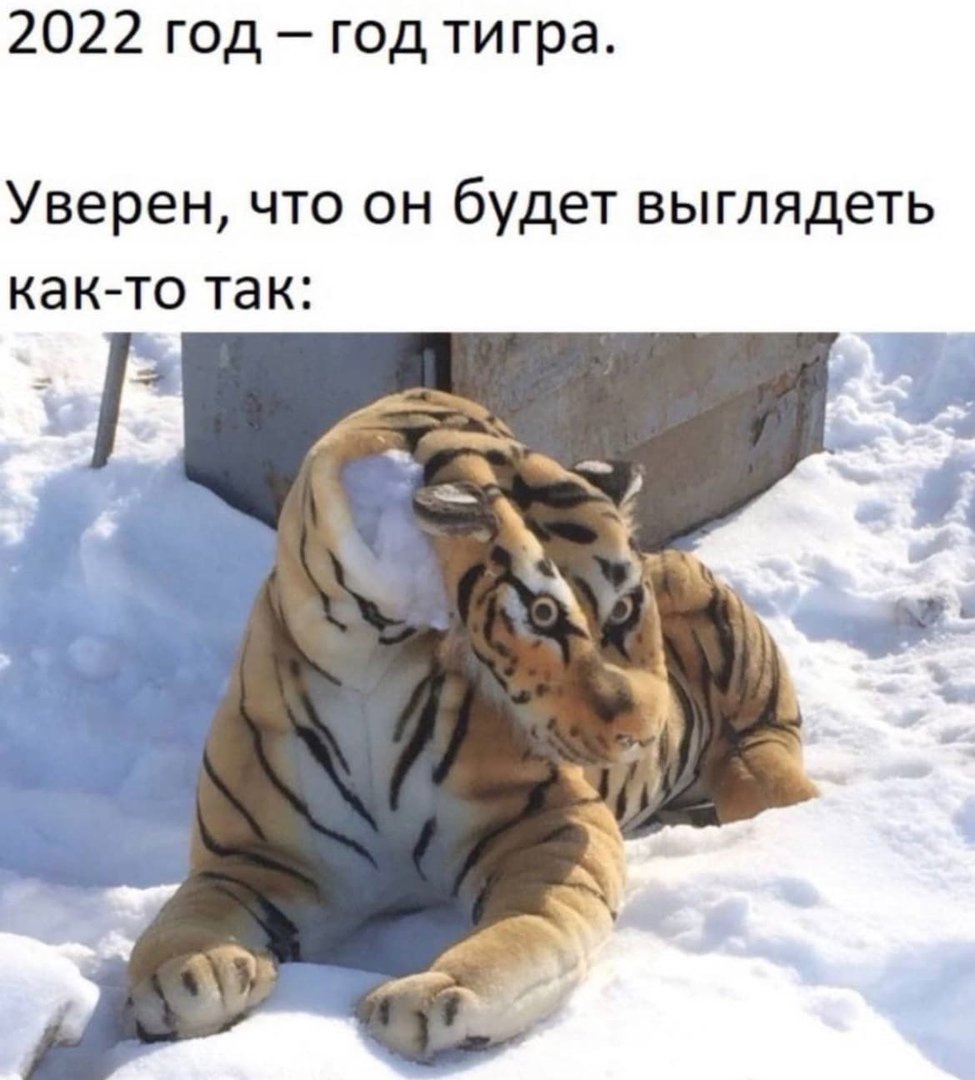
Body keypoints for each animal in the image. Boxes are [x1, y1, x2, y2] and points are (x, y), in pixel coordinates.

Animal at [127, 388, 817, 1060]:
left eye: (622, 609)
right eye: (542, 614)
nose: (643, 731)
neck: (366, 653)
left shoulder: (549, 826)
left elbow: (527, 930)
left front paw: (435, 992)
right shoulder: (257, 858)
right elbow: (189, 916)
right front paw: (188, 975)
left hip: (727, 653)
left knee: (767, 753)